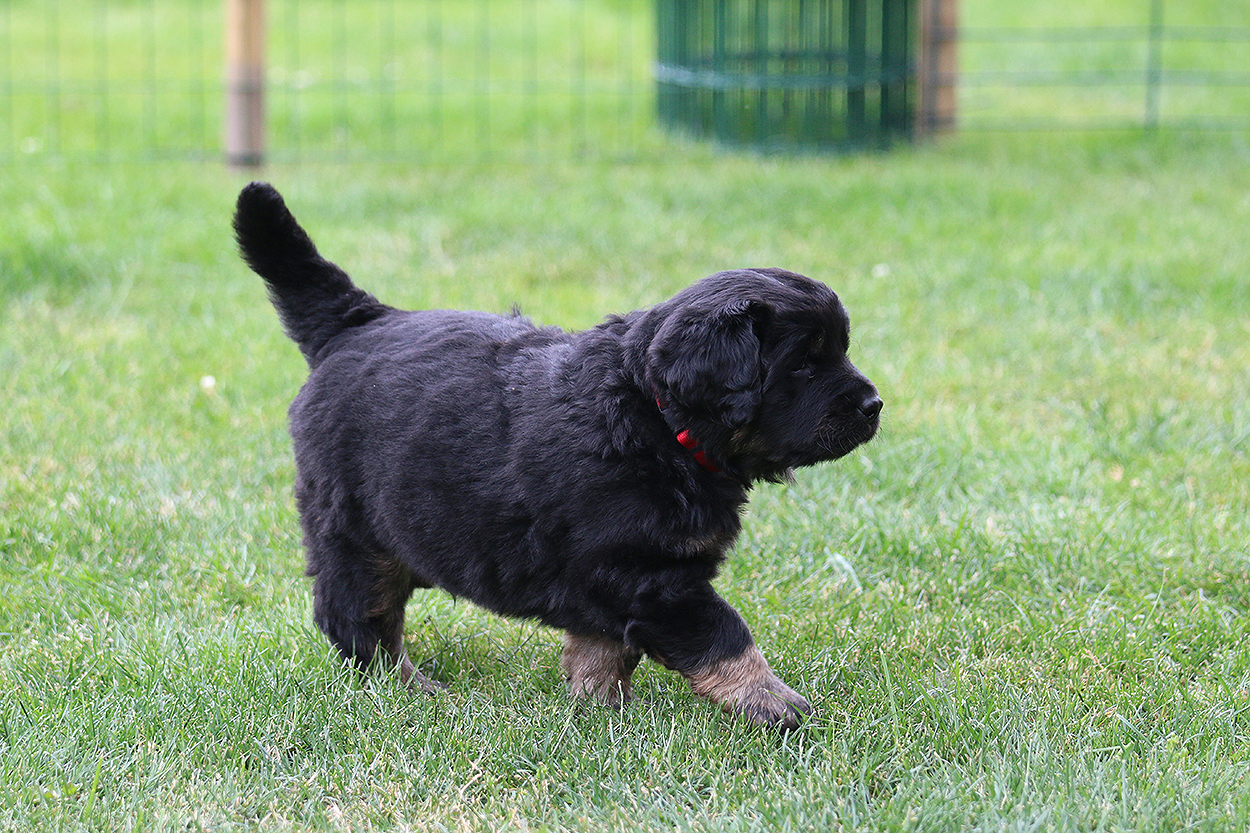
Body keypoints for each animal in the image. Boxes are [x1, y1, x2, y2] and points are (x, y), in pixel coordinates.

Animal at [234, 182, 882, 729]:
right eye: (804, 365)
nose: (875, 405)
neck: (654, 419)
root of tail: (358, 322)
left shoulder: (615, 575)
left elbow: (604, 647)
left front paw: (598, 710)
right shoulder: (650, 573)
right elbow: (725, 635)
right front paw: (776, 704)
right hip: (354, 529)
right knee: (357, 619)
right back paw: (410, 689)